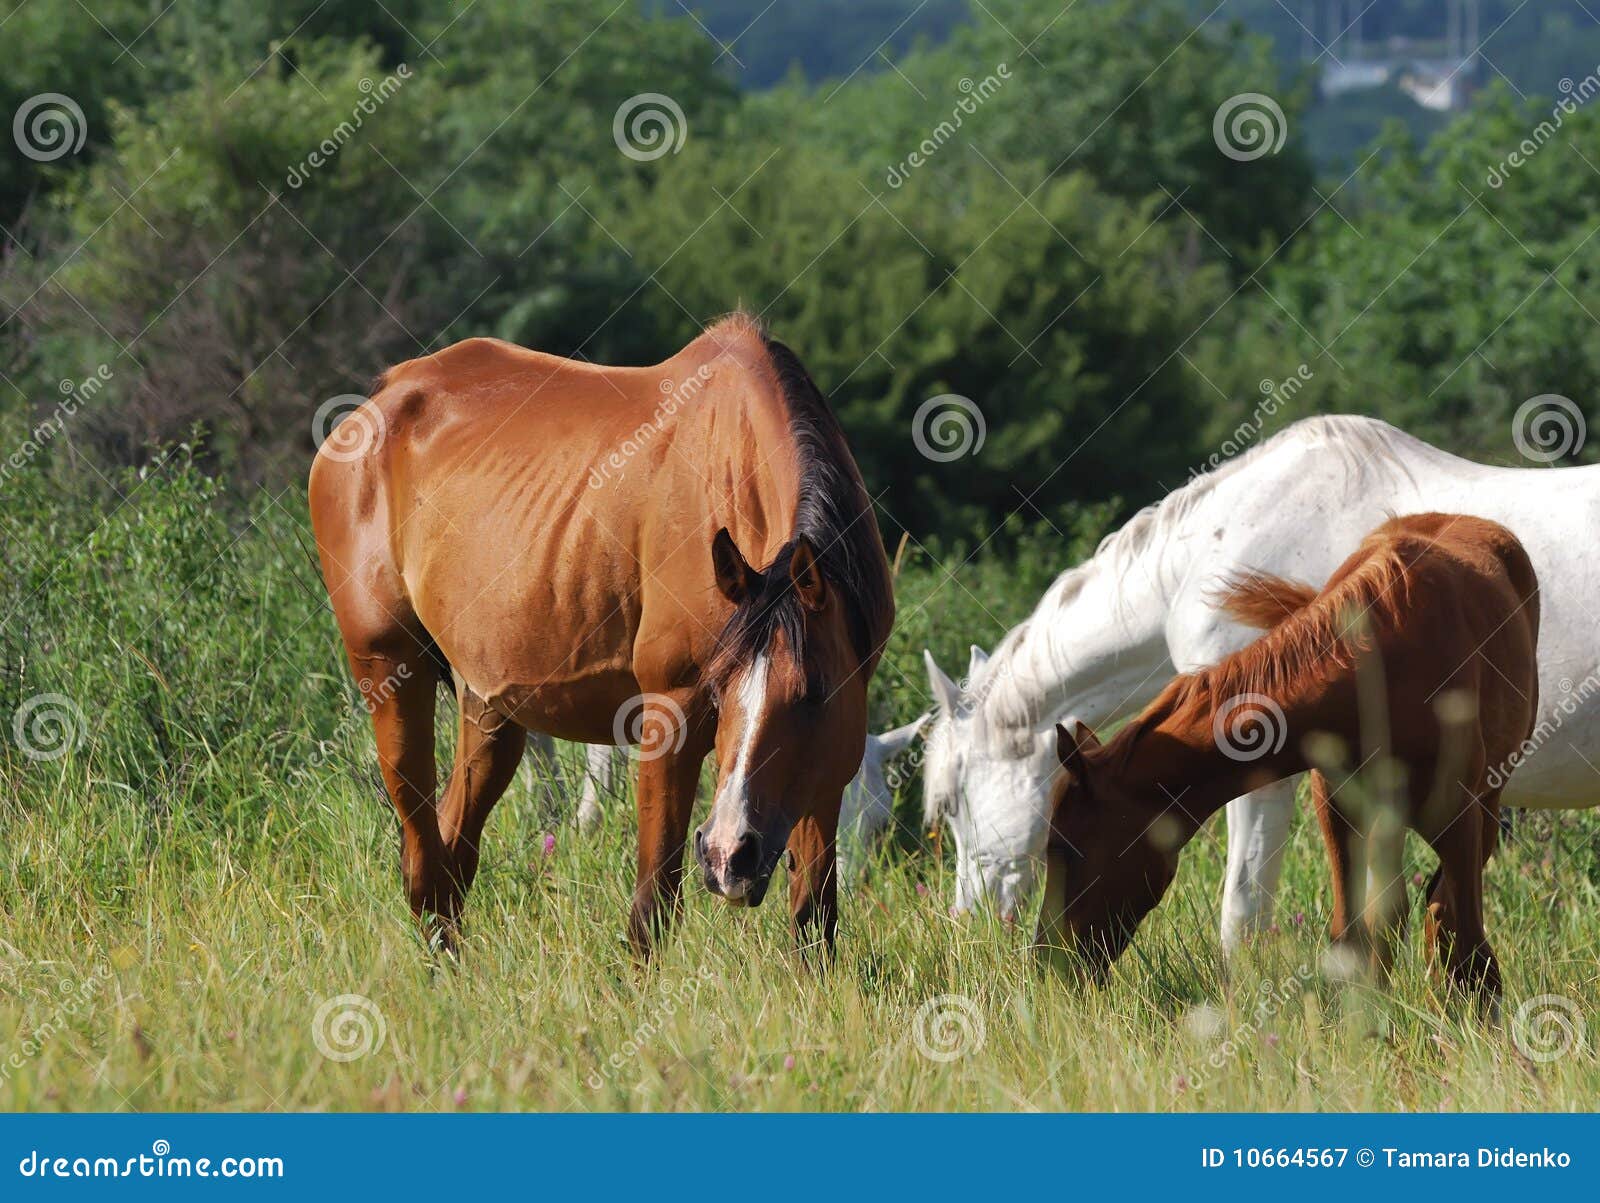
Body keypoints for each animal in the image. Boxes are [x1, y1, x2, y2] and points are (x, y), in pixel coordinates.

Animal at [305, 315, 896, 953]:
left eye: (814, 694)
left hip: (486, 704)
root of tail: (383, 399)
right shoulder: (670, 713)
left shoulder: (827, 763)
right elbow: (652, 907)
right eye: (717, 688)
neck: (734, 471)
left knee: (449, 857)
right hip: (390, 671)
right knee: (422, 860)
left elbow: (815, 921)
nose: (728, 856)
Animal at [1036, 511, 1536, 998]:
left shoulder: (1460, 816)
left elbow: (1465, 938)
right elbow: (1352, 936)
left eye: (1062, 847)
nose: (1047, 959)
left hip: (1486, 801)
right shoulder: (1336, 806)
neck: (1378, 666)